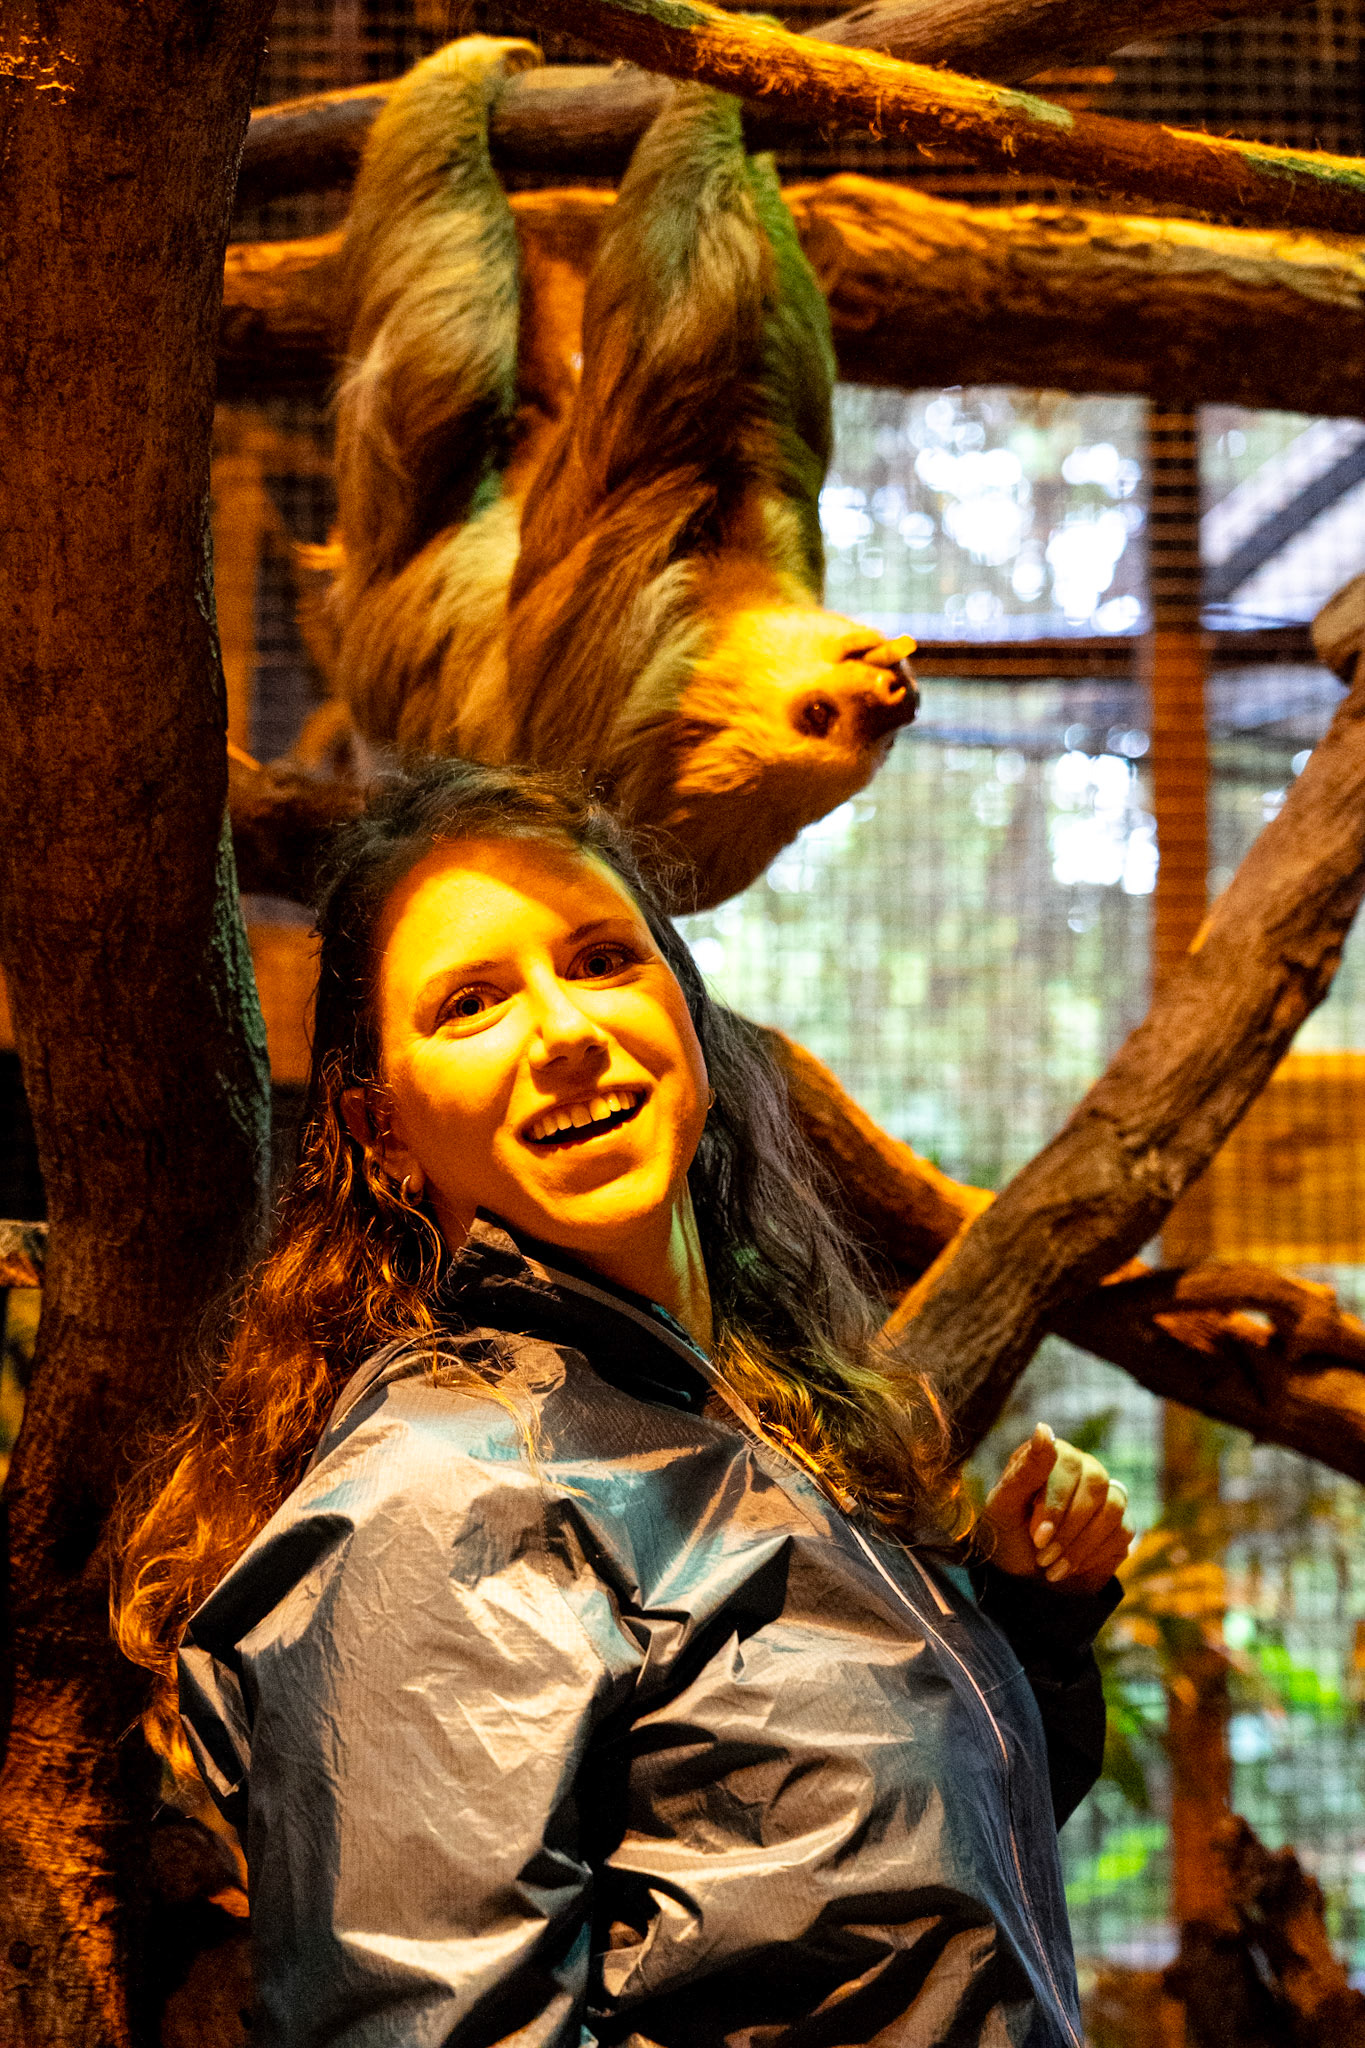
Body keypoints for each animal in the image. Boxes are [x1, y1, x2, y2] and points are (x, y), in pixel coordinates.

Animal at [306, 36, 918, 909]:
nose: (897, 694)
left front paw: (711, 83)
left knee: (437, 338)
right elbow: (783, 393)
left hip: (395, 548)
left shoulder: (630, 590)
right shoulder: (770, 530)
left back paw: (462, 74)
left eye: (820, 717)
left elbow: (661, 343)